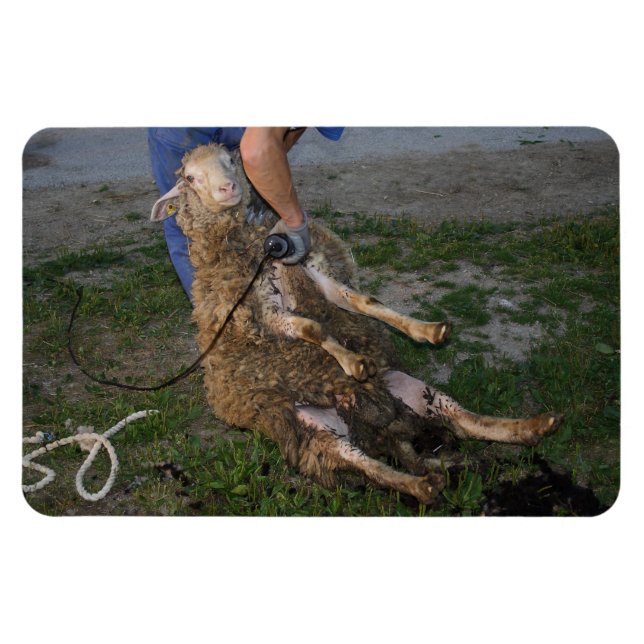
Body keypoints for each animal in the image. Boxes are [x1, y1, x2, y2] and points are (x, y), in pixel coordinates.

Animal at [150, 143, 562, 504]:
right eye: (189, 177)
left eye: (231, 160)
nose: (229, 188)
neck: (256, 250)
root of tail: (381, 428)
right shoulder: (262, 313)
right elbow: (311, 328)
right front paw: (353, 362)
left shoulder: (314, 275)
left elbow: (364, 303)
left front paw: (426, 330)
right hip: (314, 432)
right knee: (367, 465)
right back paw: (421, 484)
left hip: (412, 388)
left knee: (463, 420)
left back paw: (534, 426)